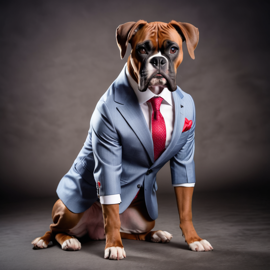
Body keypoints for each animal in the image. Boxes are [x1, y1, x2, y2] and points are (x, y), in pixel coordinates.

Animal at [31, 20, 213, 260]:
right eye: (142, 49)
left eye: (173, 49)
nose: (158, 60)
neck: (154, 95)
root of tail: (94, 231)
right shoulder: (108, 160)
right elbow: (111, 210)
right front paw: (114, 246)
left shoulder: (184, 160)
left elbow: (185, 209)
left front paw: (194, 240)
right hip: (70, 210)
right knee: (56, 228)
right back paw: (59, 240)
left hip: (144, 219)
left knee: (132, 233)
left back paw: (156, 234)